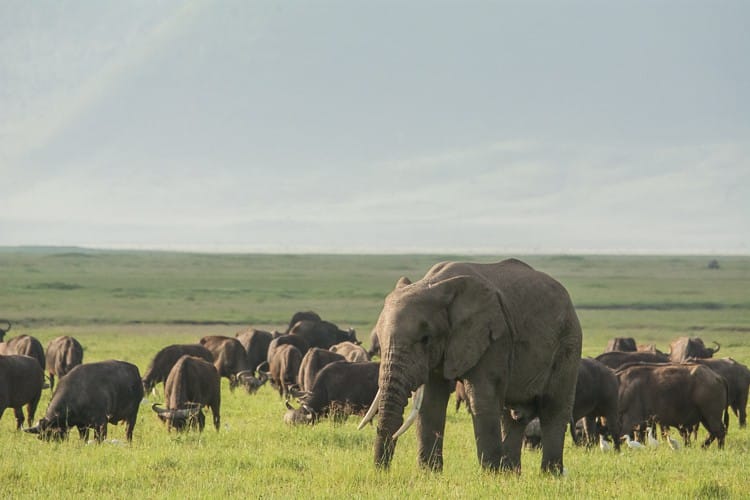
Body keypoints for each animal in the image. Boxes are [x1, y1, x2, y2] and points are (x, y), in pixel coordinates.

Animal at [362, 260, 584, 474]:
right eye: (379, 341)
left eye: (425, 339)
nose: (382, 471)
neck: (434, 283)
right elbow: (431, 403)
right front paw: (429, 473)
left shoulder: (494, 337)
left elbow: (482, 398)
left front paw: (490, 475)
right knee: (512, 417)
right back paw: (511, 474)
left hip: (568, 344)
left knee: (554, 410)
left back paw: (549, 474)